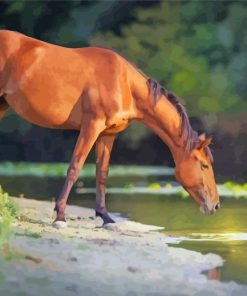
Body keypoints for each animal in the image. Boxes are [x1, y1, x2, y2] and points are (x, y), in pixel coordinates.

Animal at [0, 30, 220, 225]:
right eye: (204, 165)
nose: (216, 206)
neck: (124, 83)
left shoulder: (108, 134)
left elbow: (102, 173)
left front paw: (105, 217)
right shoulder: (91, 126)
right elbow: (75, 167)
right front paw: (60, 216)